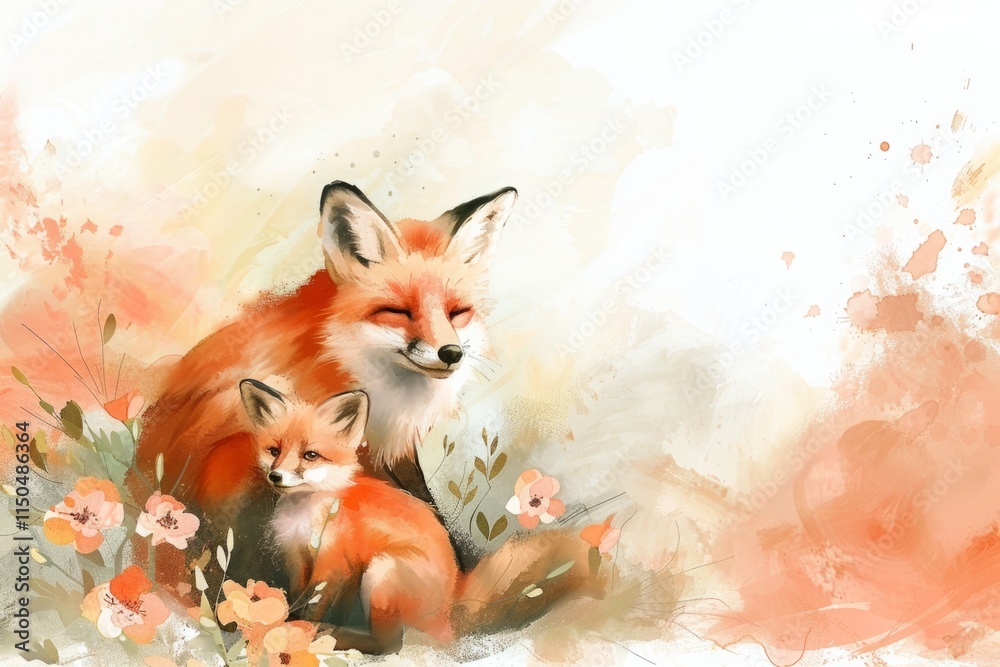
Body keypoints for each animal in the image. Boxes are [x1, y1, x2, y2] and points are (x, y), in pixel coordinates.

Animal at [238, 379, 604, 654]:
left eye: (310, 455)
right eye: (274, 451)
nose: (275, 476)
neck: (307, 514)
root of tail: (451, 608)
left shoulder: (335, 560)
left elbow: (311, 603)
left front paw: (297, 629)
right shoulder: (297, 558)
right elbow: (297, 596)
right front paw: (283, 624)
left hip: (382, 572)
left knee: (389, 644)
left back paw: (332, 634)